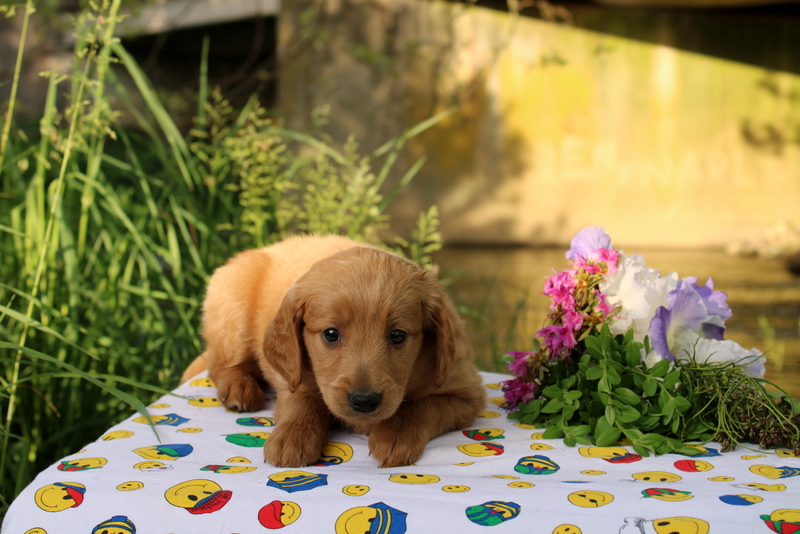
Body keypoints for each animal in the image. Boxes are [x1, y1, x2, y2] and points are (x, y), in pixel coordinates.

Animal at [182, 236, 488, 468]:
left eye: (398, 335)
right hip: (231, 310)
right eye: (331, 334)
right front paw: (292, 436)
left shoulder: (466, 391)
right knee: (219, 362)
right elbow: (303, 401)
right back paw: (239, 388)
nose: (364, 401)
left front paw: (395, 435)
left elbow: (422, 406)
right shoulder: (293, 376)